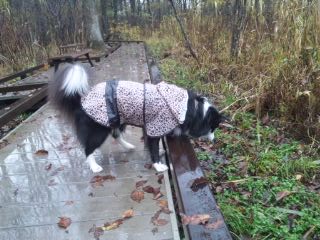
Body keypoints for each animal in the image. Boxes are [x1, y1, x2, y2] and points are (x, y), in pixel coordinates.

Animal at [49, 63, 225, 172]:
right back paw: (94, 167)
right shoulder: (154, 127)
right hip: (99, 128)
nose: (214, 140)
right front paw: (158, 165)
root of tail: (82, 100)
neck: (191, 109)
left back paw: (128, 146)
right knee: (88, 148)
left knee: (116, 135)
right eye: (212, 128)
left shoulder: (151, 127)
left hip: (117, 119)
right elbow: (153, 147)